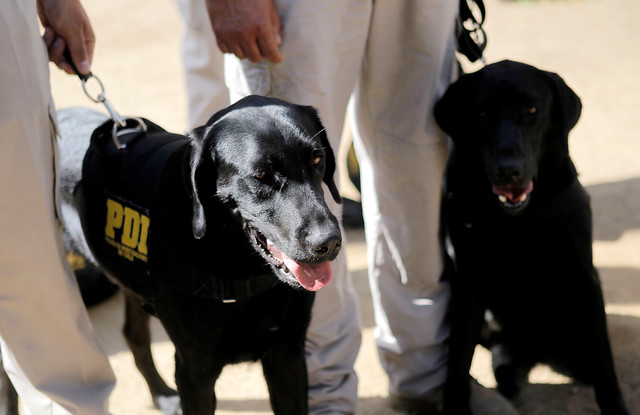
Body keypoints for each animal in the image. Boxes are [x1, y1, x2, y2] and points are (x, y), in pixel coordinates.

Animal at [436, 61, 632, 415]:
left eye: (532, 110)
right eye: (481, 113)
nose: (508, 170)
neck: (521, 218)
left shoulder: (585, 276)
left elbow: (604, 360)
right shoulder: (468, 284)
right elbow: (457, 360)